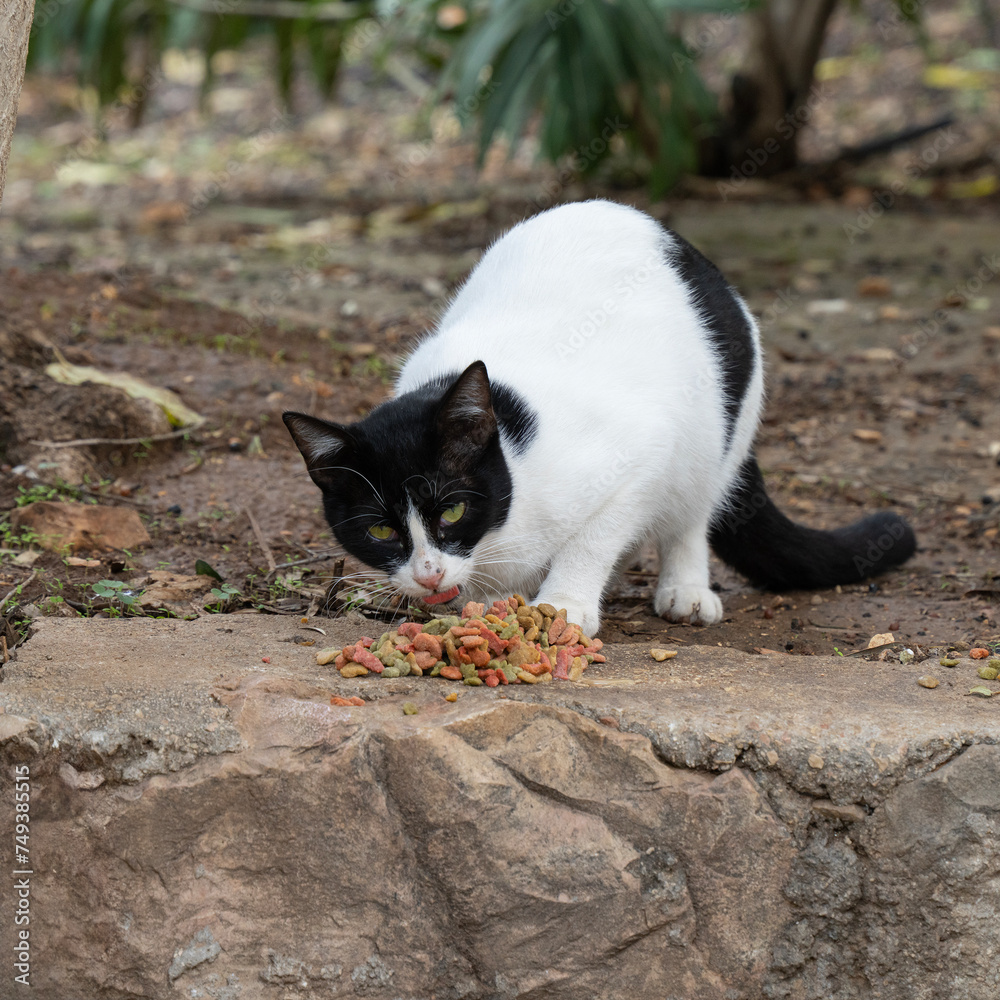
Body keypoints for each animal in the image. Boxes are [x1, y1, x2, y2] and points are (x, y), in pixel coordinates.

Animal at [282, 199, 916, 632]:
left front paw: (564, 604)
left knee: (693, 512)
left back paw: (685, 588)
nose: (429, 573)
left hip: (721, 423)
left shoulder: (638, 454)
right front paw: (483, 605)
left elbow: (595, 536)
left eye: (454, 510)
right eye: (381, 530)